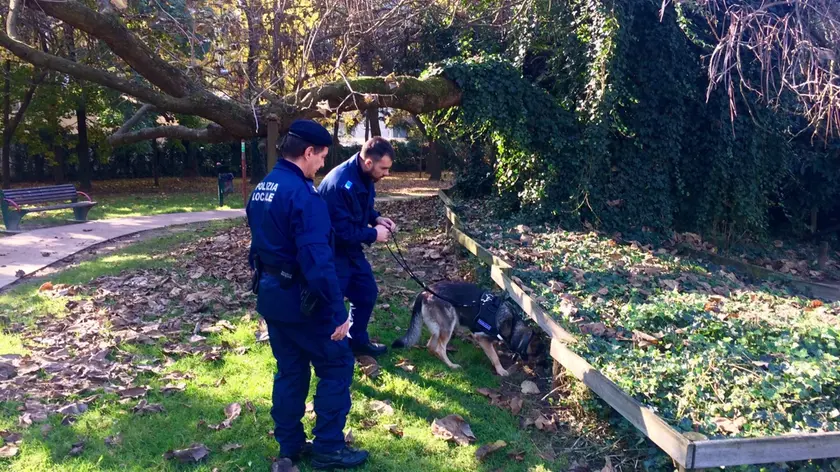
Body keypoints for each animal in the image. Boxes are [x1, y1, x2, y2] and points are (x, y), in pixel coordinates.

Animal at [392, 280, 544, 376]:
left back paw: (437, 358)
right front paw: (500, 370)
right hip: (448, 327)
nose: (543, 365)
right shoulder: (480, 337)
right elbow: (494, 356)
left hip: (438, 329)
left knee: (431, 345)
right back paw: (451, 365)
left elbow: (494, 351)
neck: (512, 325)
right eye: (537, 354)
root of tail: (424, 293)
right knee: (440, 348)